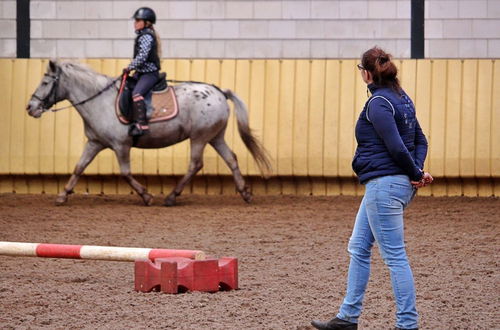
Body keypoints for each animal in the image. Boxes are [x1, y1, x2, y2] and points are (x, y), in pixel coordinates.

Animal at [25, 60, 272, 205]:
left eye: (45, 82)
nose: (30, 108)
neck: (99, 100)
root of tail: (220, 92)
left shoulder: (121, 145)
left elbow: (125, 173)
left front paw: (146, 195)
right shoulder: (95, 142)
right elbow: (79, 167)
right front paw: (62, 195)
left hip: (199, 137)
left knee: (195, 164)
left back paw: (172, 197)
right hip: (214, 136)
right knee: (231, 159)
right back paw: (245, 193)